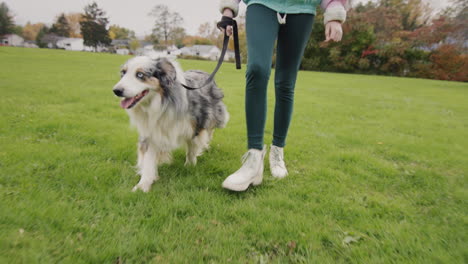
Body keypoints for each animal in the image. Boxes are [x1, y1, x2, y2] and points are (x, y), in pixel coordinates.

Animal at [113, 55, 230, 192]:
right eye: (123, 73)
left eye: (140, 74)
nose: (116, 90)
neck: (160, 102)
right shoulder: (151, 131)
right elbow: (148, 159)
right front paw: (143, 184)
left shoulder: (196, 125)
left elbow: (192, 148)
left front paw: (190, 165)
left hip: (214, 114)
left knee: (210, 129)